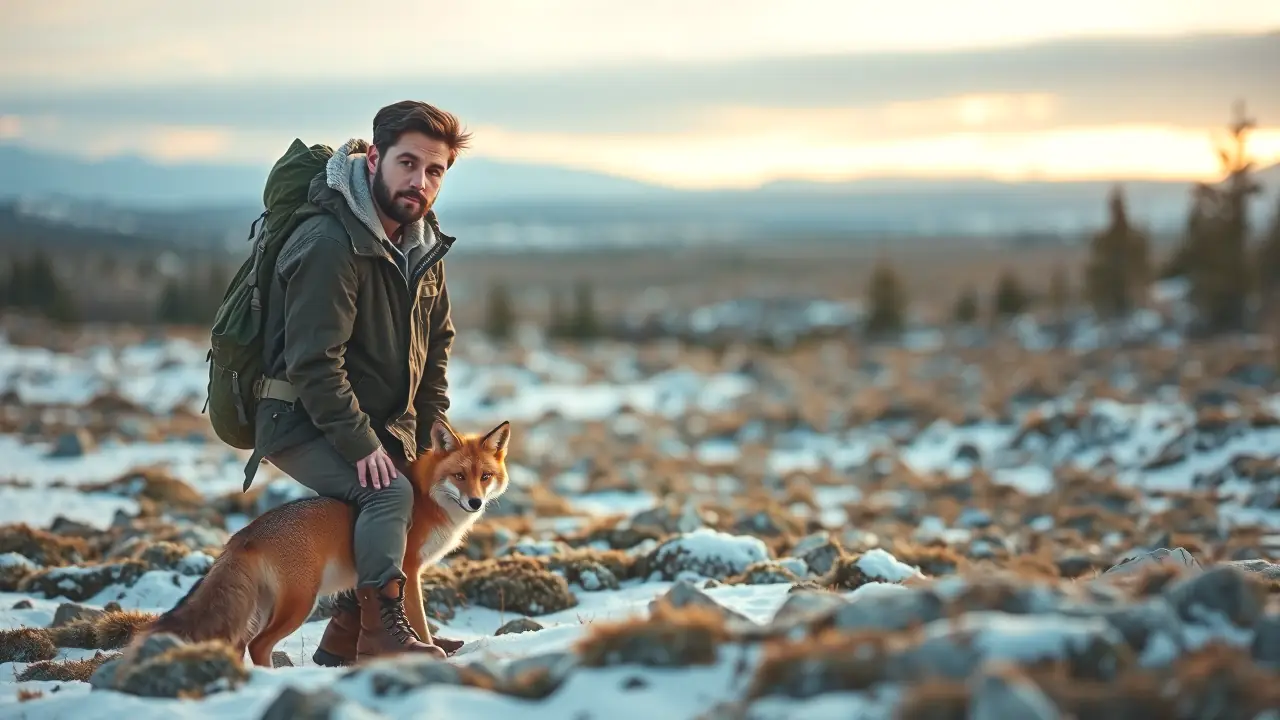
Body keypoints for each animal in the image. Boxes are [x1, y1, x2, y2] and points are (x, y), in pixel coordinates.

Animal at [131, 418, 511, 668]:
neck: (427, 500)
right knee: (258, 645)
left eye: (485, 477)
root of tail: (246, 532)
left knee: (239, 644)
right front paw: (424, 649)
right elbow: (418, 622)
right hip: (300, 603)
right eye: (459, 476)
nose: (475, 502)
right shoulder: (407, 569)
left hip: (264, 607)